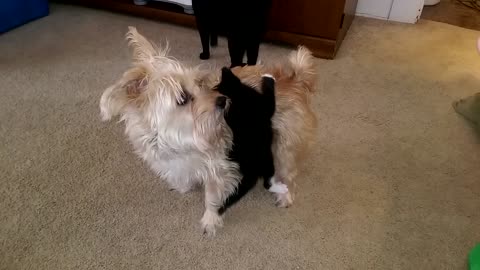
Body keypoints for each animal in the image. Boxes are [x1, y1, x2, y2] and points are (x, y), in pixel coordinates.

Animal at [215, 66, 276, 214]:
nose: (224, 67)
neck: (238, 94)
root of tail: (251, 171)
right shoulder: (267, 106)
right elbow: (270, 93)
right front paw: (269, 77)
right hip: (268, 158)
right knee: (268, 178)